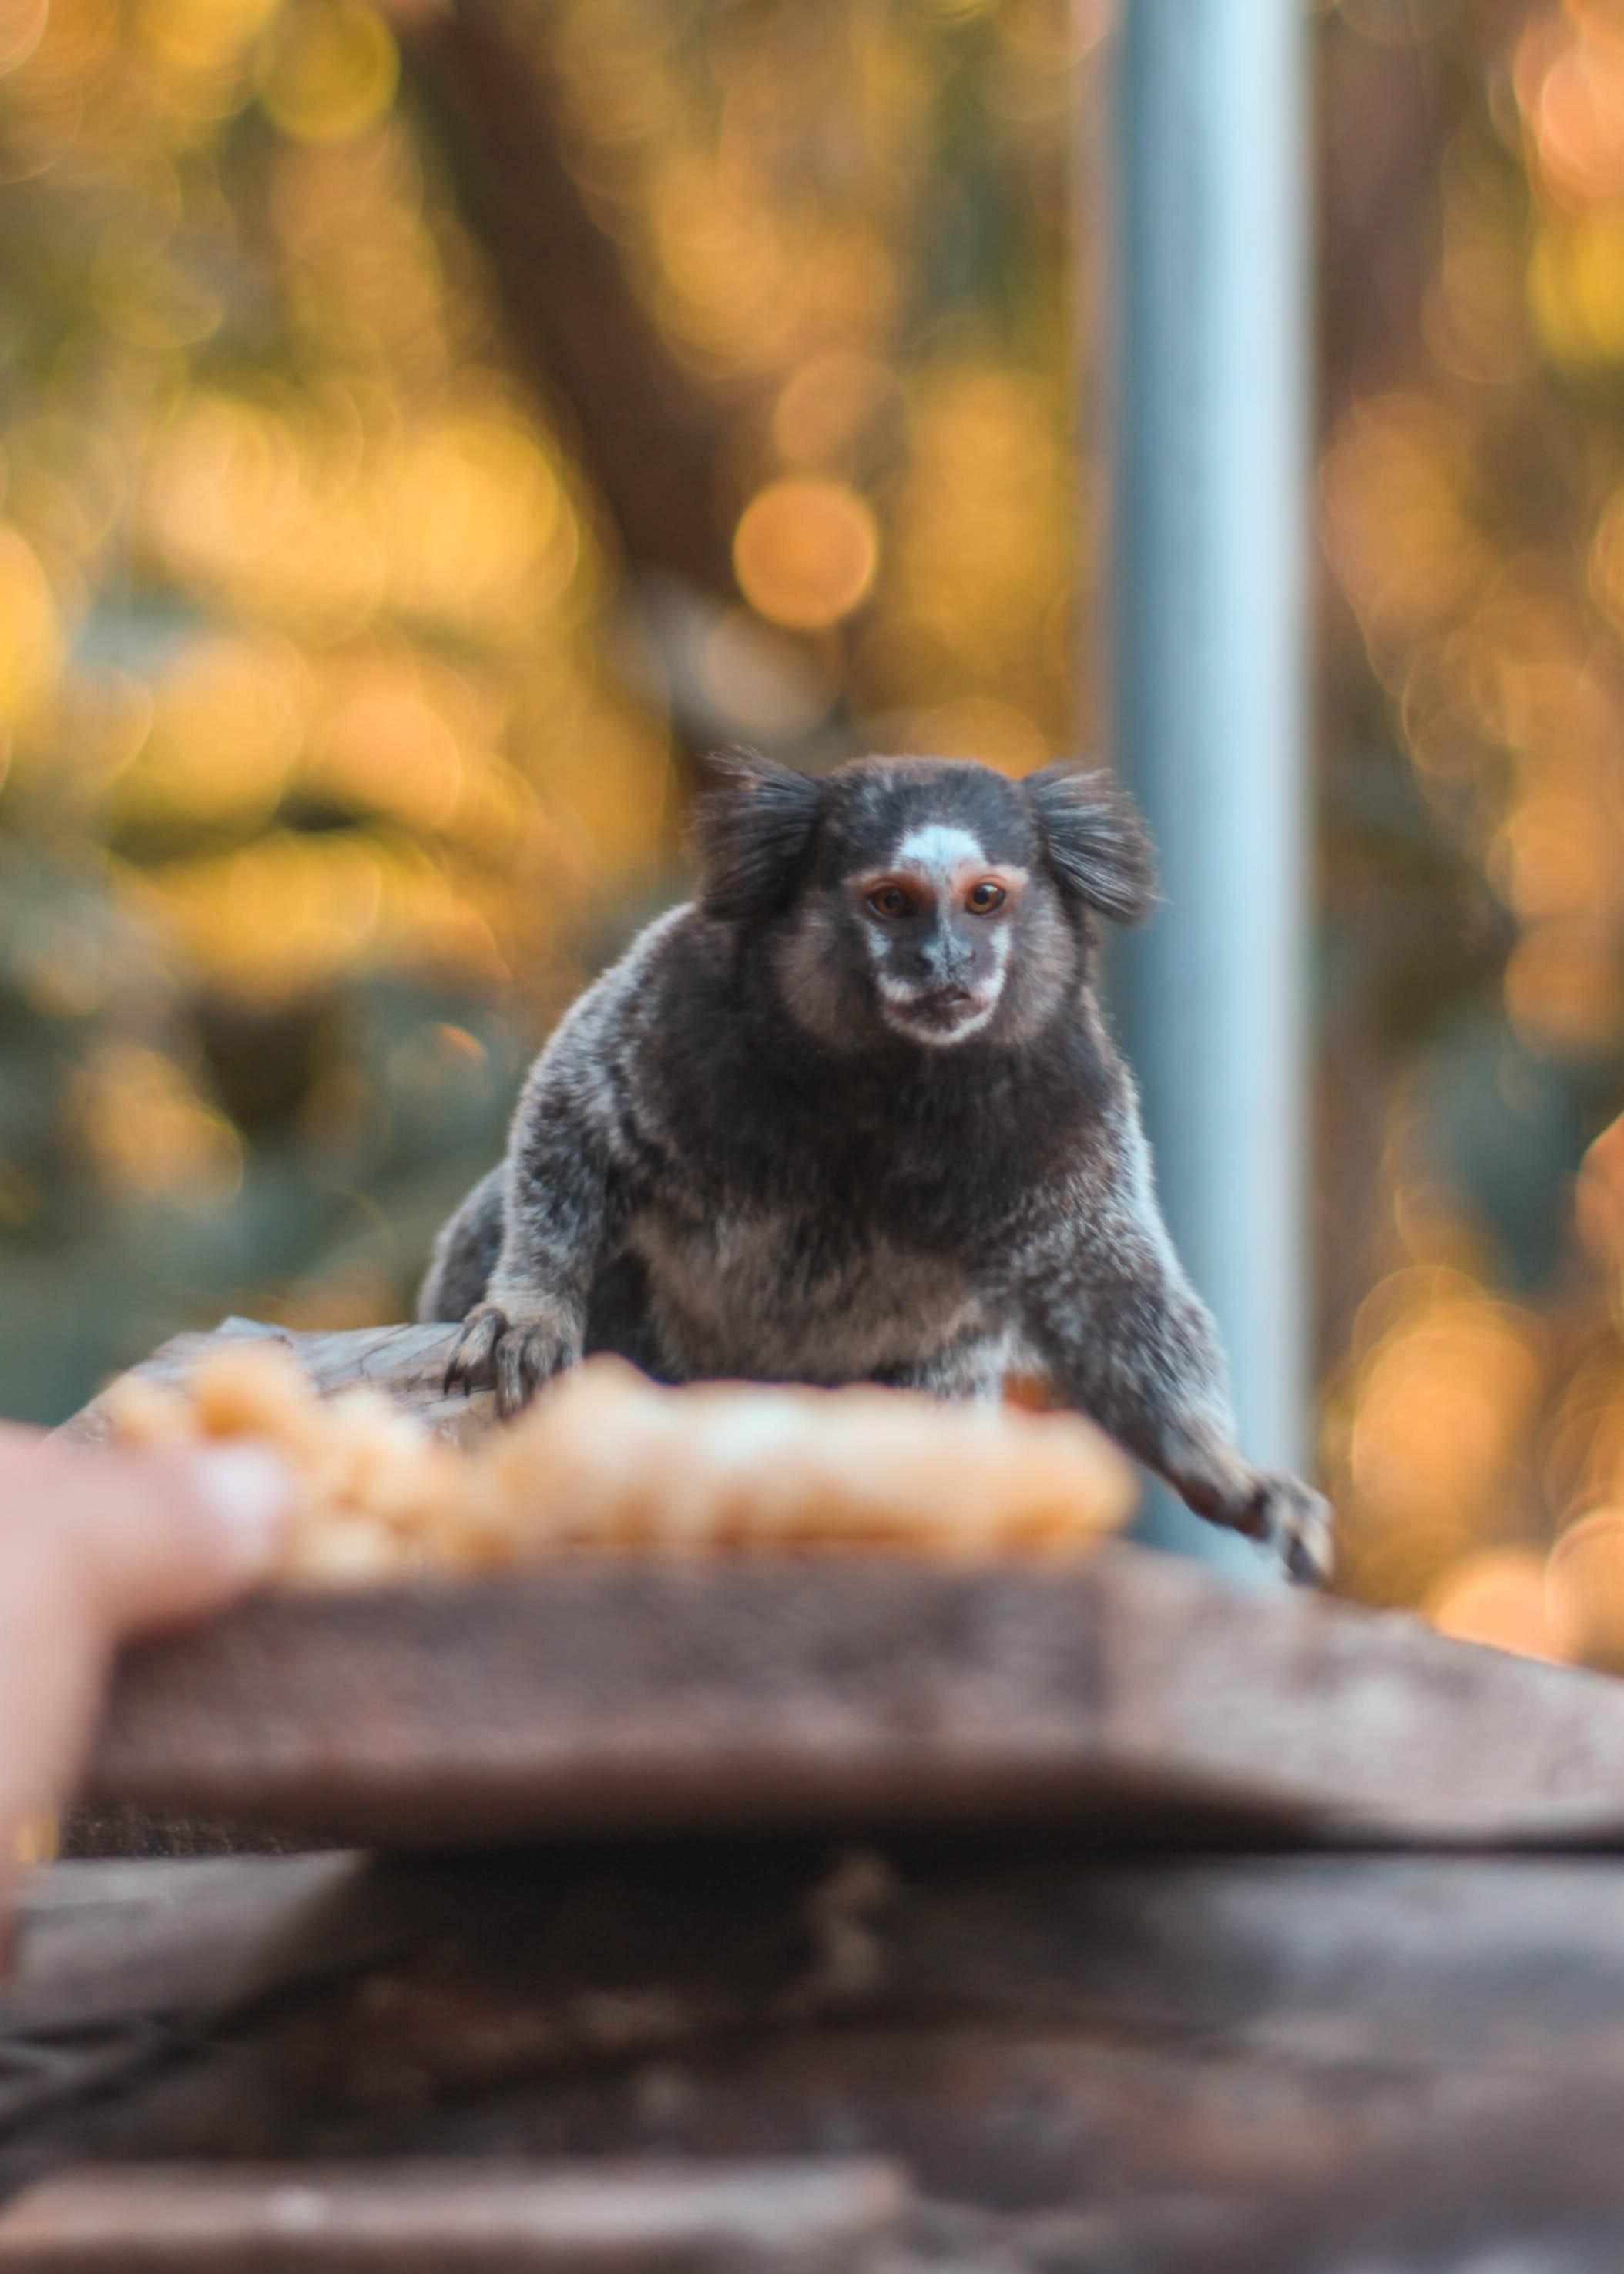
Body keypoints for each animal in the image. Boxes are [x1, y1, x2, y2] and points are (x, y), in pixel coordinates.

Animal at [421, 750, 1328, 1582]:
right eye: (892, 901)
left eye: (984, 898)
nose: (946, 962)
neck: (887, 1078)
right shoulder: (682, 996)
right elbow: (580, 1117)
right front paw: (533, 1310)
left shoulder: (1074, 1094)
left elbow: (1106, 1287)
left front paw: (1221, 1470)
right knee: (492, 1218)